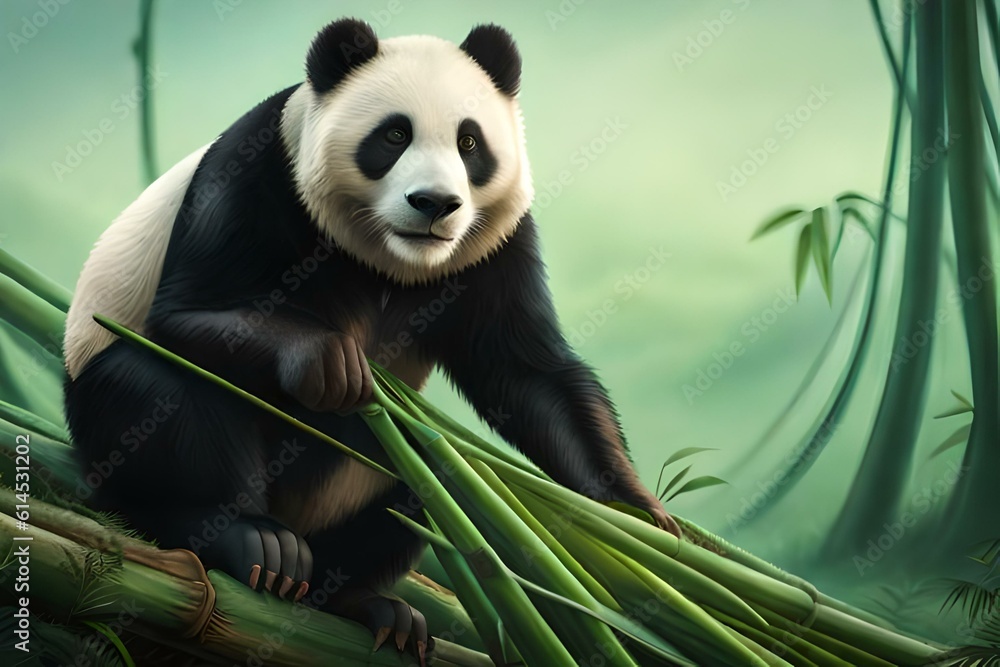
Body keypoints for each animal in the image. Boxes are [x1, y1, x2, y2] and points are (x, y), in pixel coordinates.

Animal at [63, 17, 676, 659]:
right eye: (394, 135)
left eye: (470, 143)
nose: (435, 204)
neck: (389, 257)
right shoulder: (258, 173)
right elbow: (189, 311)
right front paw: (330, 364)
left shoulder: (494, 242)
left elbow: (527, 374)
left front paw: (640, 521)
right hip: (106, 414)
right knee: (162, 395)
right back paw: (253, 544)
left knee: (426, 478)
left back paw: (365, 604)